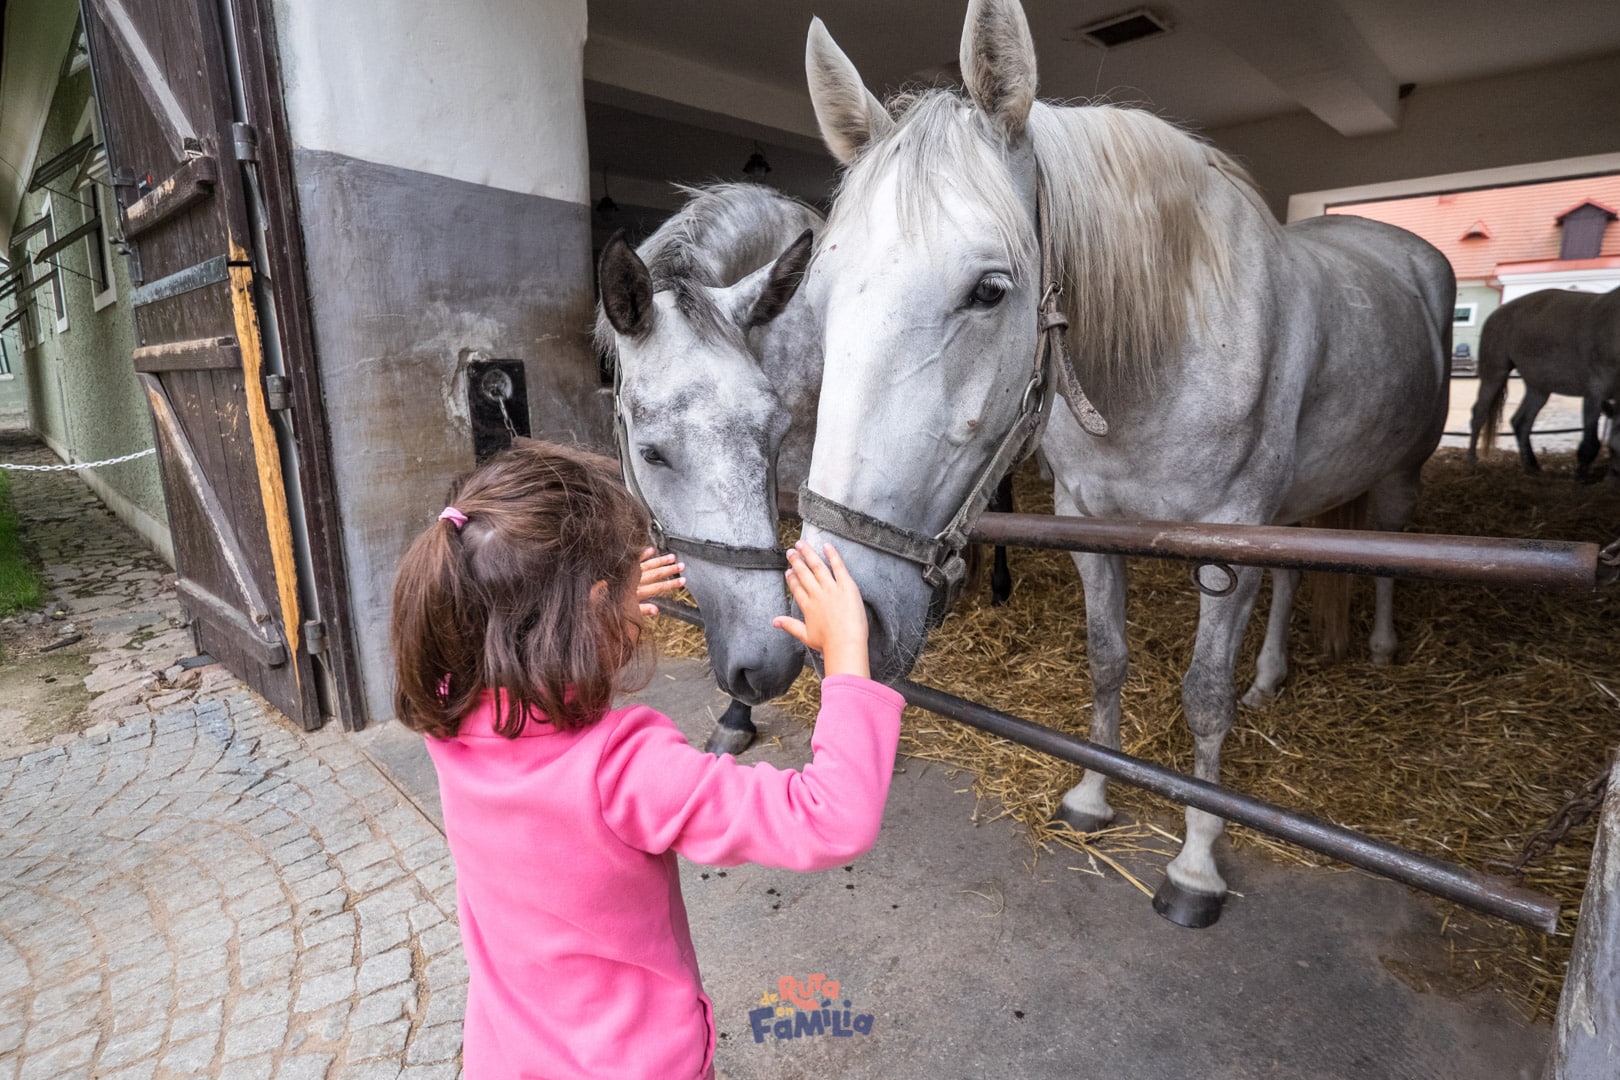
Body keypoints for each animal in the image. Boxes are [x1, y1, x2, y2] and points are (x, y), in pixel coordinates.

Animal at [796, 0, 1453, 927]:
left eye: (990, 290)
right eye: (815, 296)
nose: (840, 617)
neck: (1166, 353)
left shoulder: (1229, 543)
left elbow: (1203, 697)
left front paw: (1198, 864)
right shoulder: (1089, 525)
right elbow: (1107, 658)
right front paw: (1091, 797)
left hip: (1392, 485)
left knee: (1390, 560)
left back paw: (1385, 650)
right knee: (1295, 579)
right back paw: (1271, 679)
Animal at [1467, 286, 1620, 481]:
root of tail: (1497, 313)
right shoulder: (1595, 393)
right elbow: (1590, 444)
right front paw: (1580, 479)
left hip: (1538, 388)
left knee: (1521, 422)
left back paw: (1531, 466)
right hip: (1494, 374)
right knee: (1479, 414)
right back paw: (1472, 459)